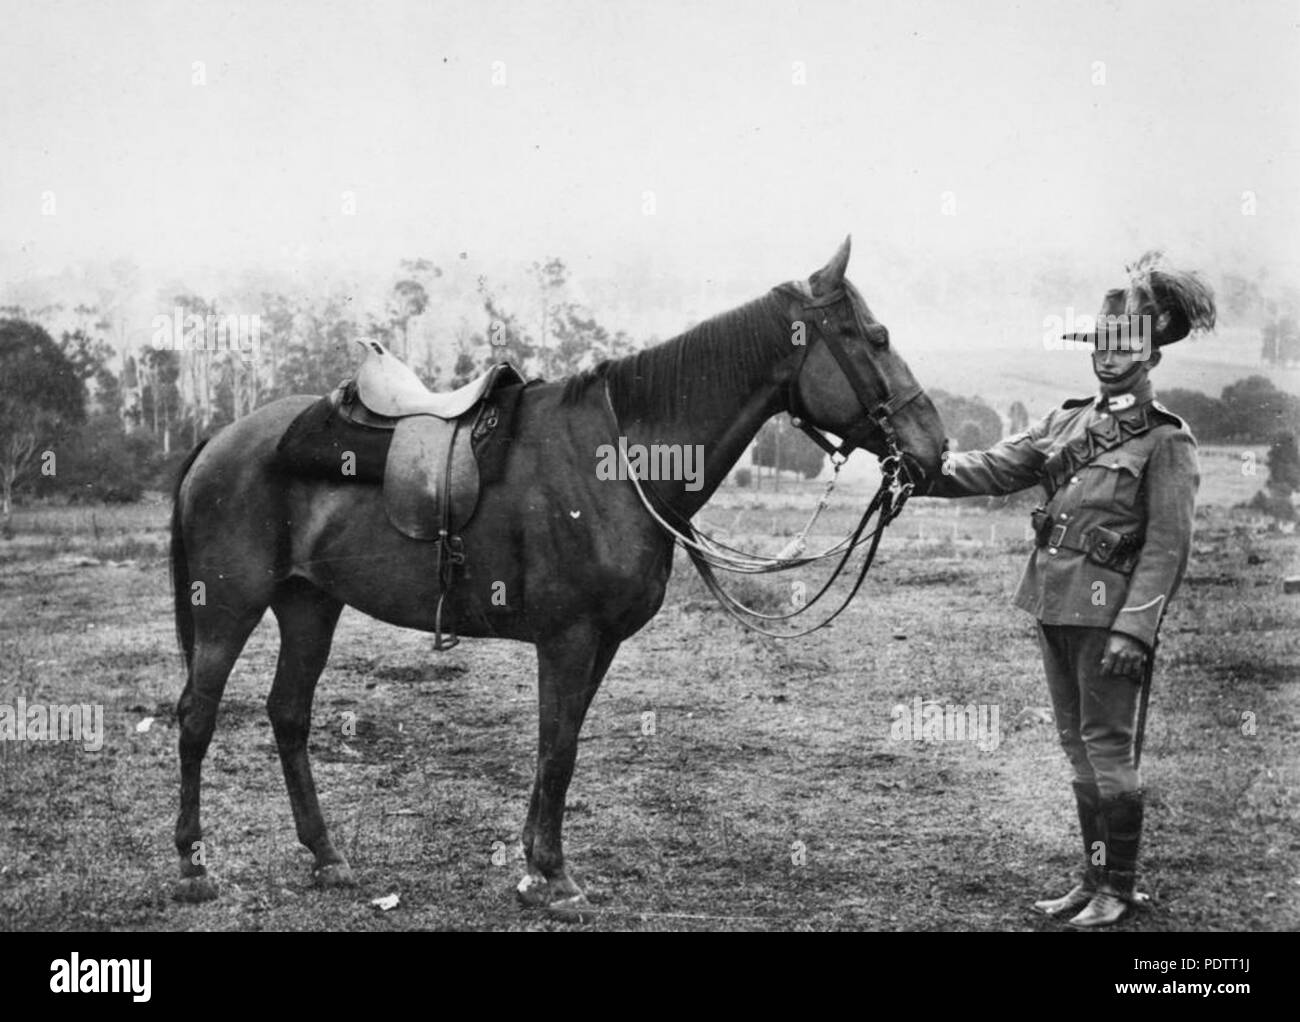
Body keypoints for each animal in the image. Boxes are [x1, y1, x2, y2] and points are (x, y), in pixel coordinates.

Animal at [168, 237, 946, 913]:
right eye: (876, 337)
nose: (934, 449)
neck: (619, 459)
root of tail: (220, 440)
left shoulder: (598, 643)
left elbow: (557, 744)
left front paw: (533, 867)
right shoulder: (568, 638)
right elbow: (560, 749)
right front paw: (554, 874)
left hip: (310, 605)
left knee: (288, 714)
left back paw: (327, 857)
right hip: (229, 607)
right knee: (197, 716)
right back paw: (195, 868)